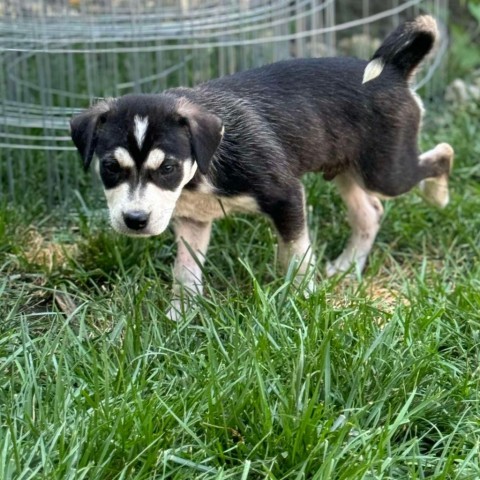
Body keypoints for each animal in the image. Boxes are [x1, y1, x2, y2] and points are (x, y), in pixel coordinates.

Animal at [70, 15, 454, 318]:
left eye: (167, 168)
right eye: (110, 166)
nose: (134, 221)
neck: (201, 172)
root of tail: (393, 73)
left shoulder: (286, 196)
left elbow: (297, 255)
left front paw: (304, 302)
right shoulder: (194, 221)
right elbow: (185, 271)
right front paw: (179, 317)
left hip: (385, 170)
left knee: (441, 155)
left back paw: (439, 196)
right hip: (348, 169)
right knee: (370, 211)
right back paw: (346, 266)